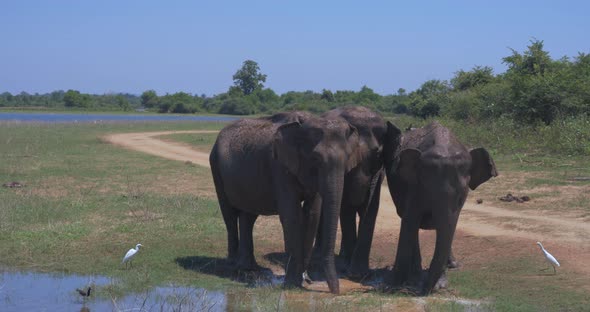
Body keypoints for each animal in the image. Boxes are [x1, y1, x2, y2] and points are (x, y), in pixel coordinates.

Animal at [210, 112, 364, 294]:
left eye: (347, 158)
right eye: (316, 158)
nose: (335, 292)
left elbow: (312, 215)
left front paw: (304, 280)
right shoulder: (279, 165)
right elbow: (292, 215)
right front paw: (292, 284)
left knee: (248, 216)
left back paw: (250, 268)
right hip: (216, 166)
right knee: (229, 215)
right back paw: (234, 268)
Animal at [316, 106, 404, 276]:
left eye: (378, 154)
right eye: (346, 155)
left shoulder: (379, 172)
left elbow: (371, 208)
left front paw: (360, 274)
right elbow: (346, 208)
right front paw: (349, 272)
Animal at [384, 121, 500, 294]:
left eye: (460, 199)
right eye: (428, 193)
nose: (423, 291)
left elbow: (449, 227)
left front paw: (440, 284)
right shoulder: (413, 187)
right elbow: (409, 221)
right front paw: (399, 284)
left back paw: (453, 265)